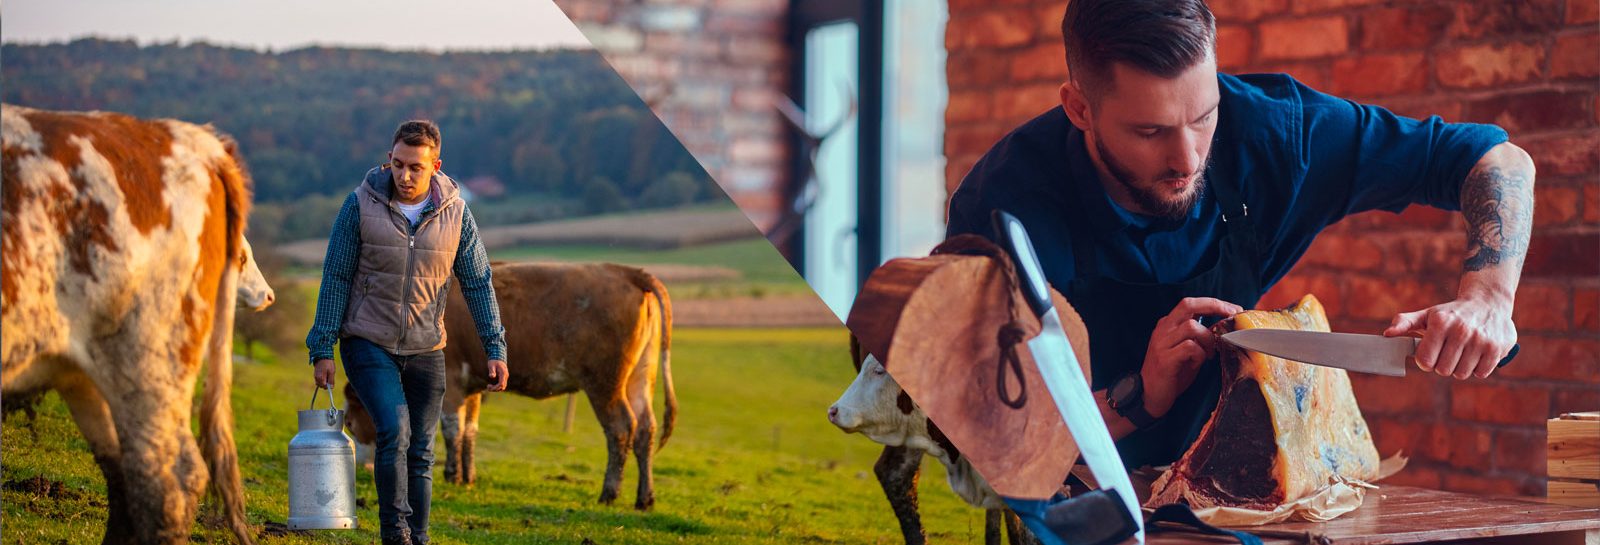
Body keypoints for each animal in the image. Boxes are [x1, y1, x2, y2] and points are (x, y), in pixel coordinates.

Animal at [2, 103, 259, 540]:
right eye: (243, 258)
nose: (269, 296)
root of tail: (200, 142)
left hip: (148, 365)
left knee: (165, 482)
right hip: (91, 377)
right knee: (123, 476)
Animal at [344, 258, 675, 508]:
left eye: (349, 420)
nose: (363, 467)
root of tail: (625, 270)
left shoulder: (451, 379)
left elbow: (452, 429)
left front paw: (452, 474)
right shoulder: (474, 385)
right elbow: (470, 429)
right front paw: (467, 476)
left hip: (605, 383)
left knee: (621, 429)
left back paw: (609, 492)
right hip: (639, 378)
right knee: (646, 428)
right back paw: (644, 498)